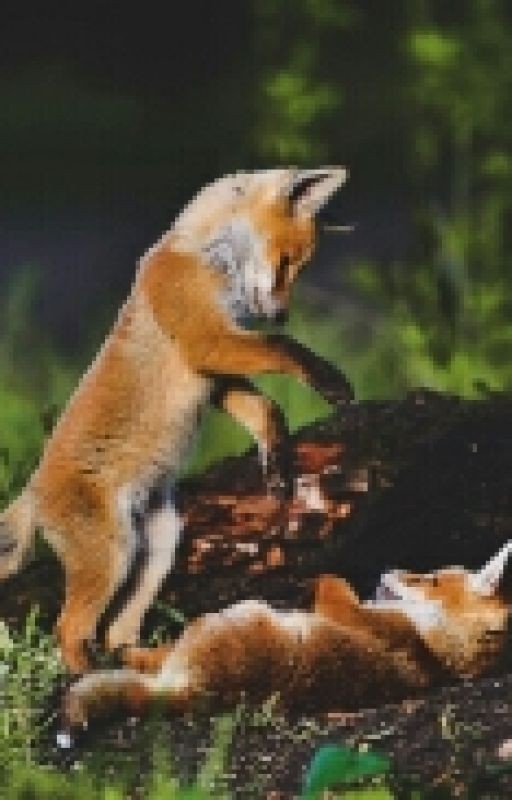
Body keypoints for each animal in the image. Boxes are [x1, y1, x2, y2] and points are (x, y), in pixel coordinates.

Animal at [0, 168, 353, 673]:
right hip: (113, 555)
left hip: (157, 547)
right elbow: (284, 350)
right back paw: (89, 680)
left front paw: (278, 465)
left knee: (116, 633)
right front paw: (328, 378)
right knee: (68, 631)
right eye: (286, 261)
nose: (283, 314)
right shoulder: (205, 340)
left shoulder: (214, 371)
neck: (207, 258)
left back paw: (151, 663)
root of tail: (31, 492)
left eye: (300, 268)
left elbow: (266, 408)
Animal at [63, 541, 512, 727]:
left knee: (152, 659)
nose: (388, 569)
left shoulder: (359, 617)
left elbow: (333, 585)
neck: (437, 652)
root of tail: (196, 692)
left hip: (236, 613)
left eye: (432, 580)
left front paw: (320, 574)